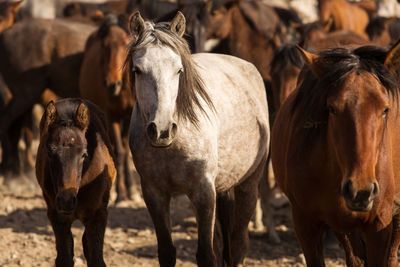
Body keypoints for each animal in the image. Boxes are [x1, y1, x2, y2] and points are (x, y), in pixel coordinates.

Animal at [35, 98, 116, 267]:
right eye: (49, 152)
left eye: (84, 154)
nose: (66, 201)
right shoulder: (57, 217)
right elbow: (64, 258)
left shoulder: (98, 214)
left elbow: (96, 259)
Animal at [80, 14, 136, 203]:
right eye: (104, 46)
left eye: (126, 45)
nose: (112, 84)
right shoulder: (111, 117)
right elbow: (119, 151)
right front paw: (121, 193)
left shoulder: (128, 116)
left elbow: (126, 149)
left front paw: (131, 189)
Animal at [125, 11, 268, 267]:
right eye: (138, 70)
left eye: (179, 70)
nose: (162, 130)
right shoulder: (154, 193)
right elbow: (167, 251)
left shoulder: (203, 192)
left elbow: (206, 255)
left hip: (248, 185)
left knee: (238, 244)